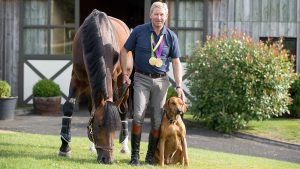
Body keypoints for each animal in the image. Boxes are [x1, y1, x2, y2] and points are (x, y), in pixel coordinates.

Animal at [58, 9, 132, 164]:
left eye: (114, 129)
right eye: (98, 125)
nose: (107, 159)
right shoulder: (77, 79)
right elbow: (69, 107)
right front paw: (64, 148)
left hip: (123, 82)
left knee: (123, 109)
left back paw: (124, 146)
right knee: (92, 107)